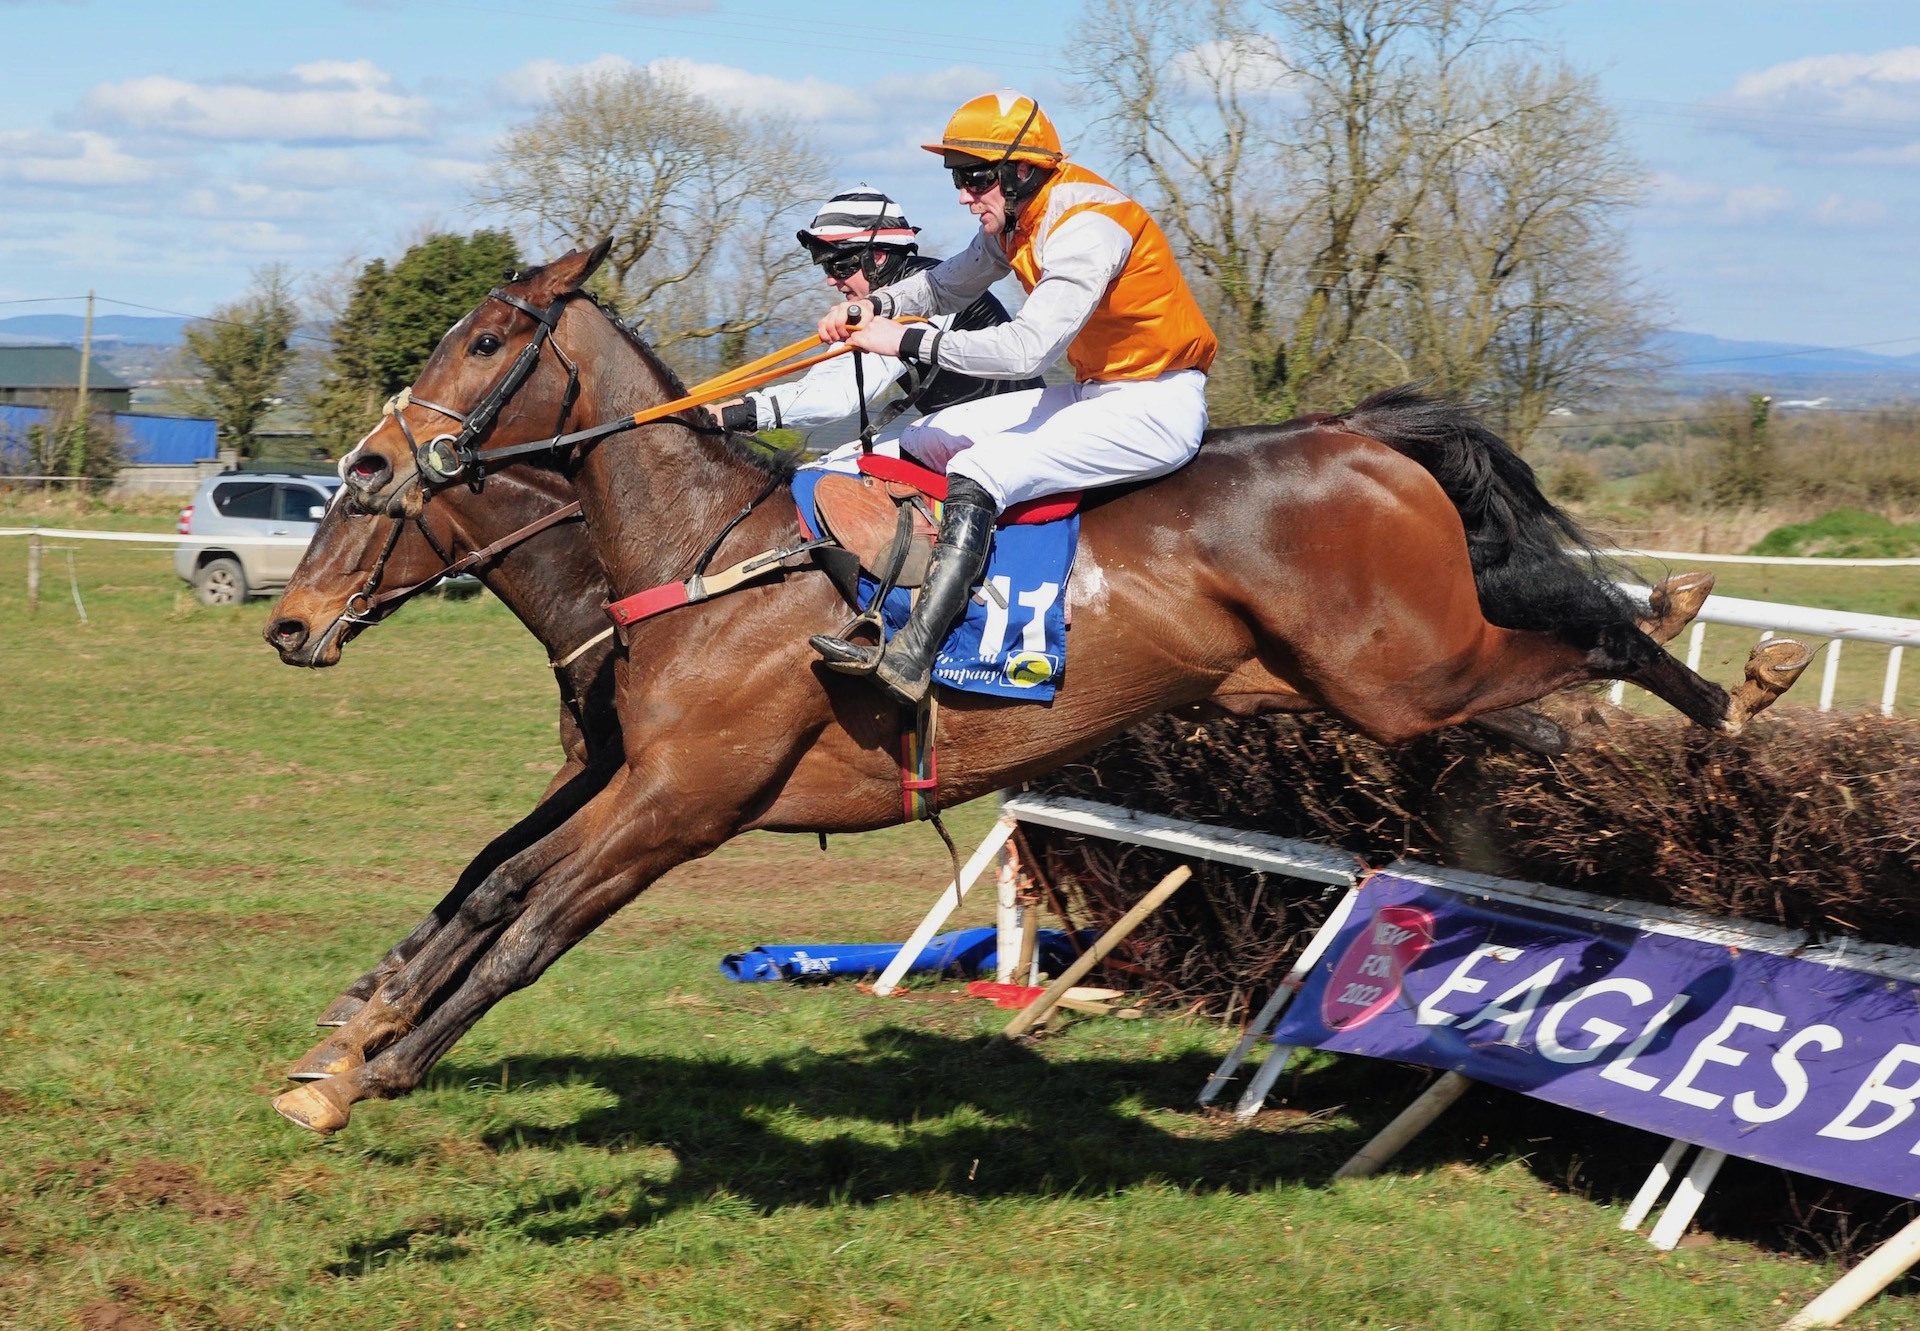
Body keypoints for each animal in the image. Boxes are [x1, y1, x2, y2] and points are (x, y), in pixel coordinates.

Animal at [278, 241, 1804, 1129]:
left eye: (485, 342)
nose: (290, 623)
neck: (698, 558)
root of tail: (1363, 434)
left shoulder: (681, 801)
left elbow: (529, 916)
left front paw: (375, 1065)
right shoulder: (618, 769)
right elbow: (486, 881)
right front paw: (355, 1025)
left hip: (1403, 668)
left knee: (1585, 638)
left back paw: (1731, 673)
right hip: (1341, 680)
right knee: (1543, 690)